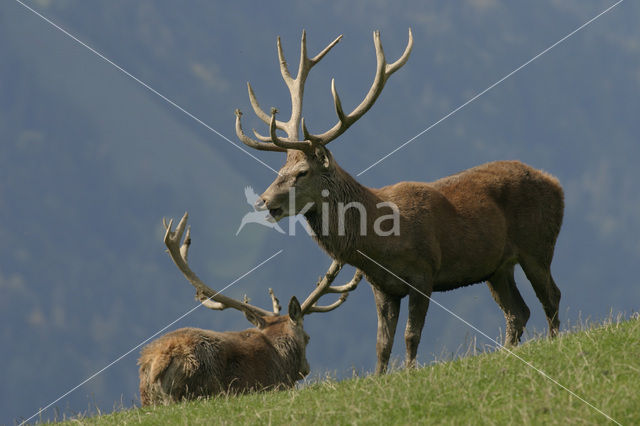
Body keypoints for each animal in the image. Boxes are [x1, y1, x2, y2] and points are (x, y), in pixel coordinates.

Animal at [232, 29, 564, 372]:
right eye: (279, 170)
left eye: (302, 172)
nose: (263, 200)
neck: (377, 243)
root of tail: (556, 183)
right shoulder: (382, 287)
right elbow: (382, 344)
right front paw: (381, 376)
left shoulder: (424, 272)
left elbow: (410, 336)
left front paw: (410, 372)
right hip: (496, 268)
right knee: (518, 312)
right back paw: (508, 354)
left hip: (538, 245)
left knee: (551, 297)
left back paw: (554, 343)